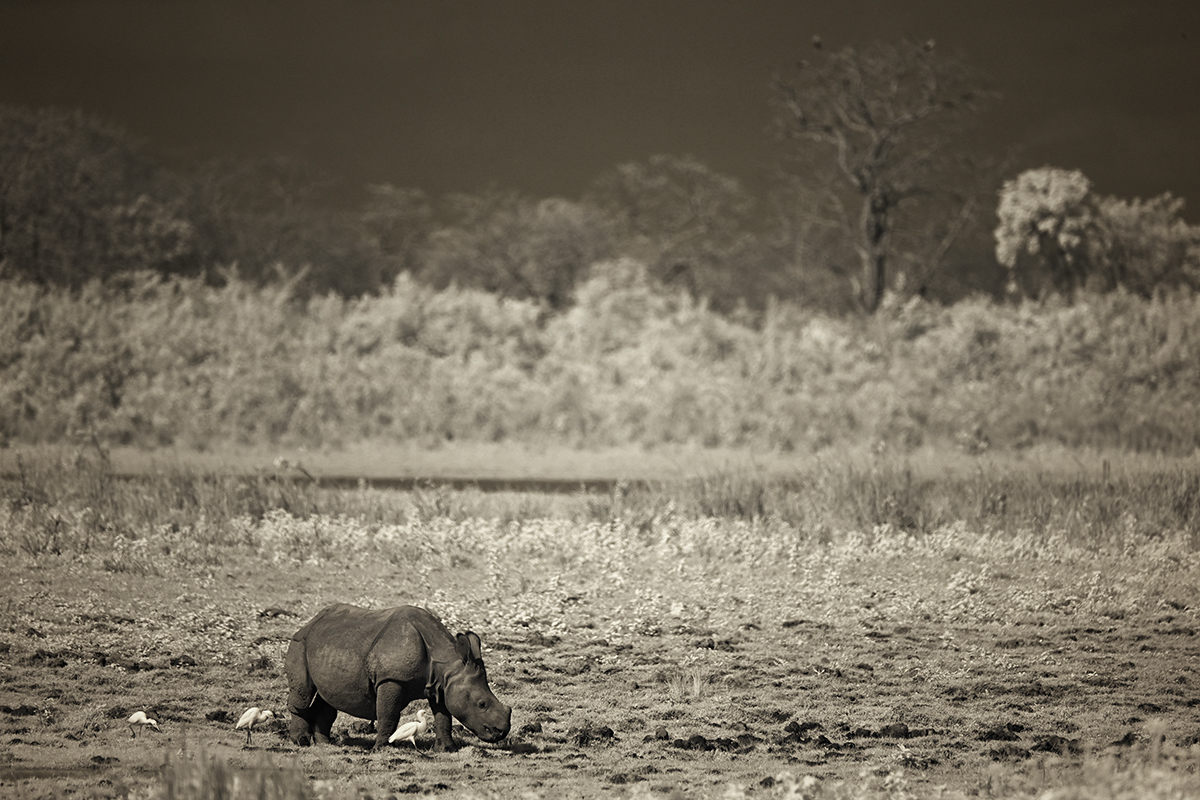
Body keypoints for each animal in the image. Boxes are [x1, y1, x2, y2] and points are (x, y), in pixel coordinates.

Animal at [285, 606, 511, 753]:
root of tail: (309, 622)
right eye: (481, 704)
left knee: (327, 698)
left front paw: (447, 749)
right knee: (304, 695)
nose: (501, 732)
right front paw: (382, 749)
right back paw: (301, 742)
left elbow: (443, 716)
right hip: (300, 642)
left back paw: (326, 744)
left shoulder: (441, 685)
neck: (446, 664)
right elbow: (389, 714)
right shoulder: (392, 679)